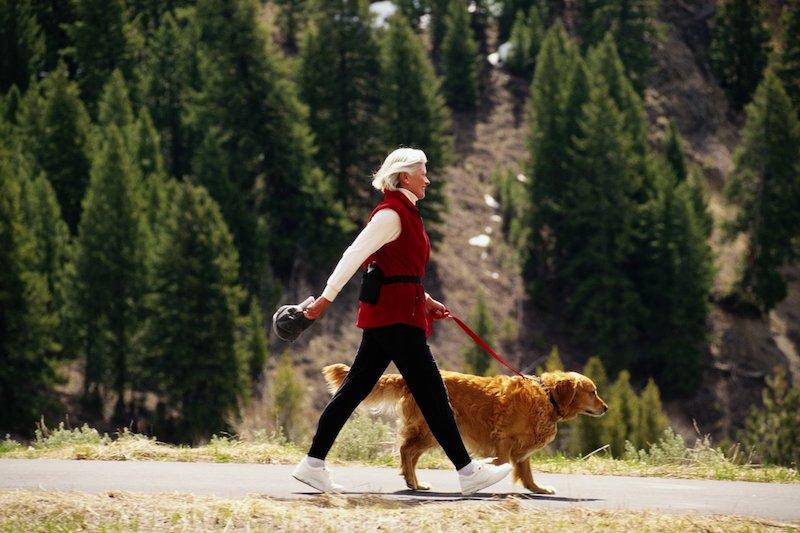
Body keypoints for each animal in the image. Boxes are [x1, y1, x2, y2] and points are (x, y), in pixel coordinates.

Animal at [322, 364, 608, 492]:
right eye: (593, 392)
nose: (606, 407)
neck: (547, 396)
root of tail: (406, 378)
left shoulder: (522, 447)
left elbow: (526, 472)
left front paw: (538, 489)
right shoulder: (505, 439)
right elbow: (503, 462)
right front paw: (491, 475)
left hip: (431, 431)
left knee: (409, 453)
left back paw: (414, 482)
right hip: (431, 429)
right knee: (406, 450)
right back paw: (413, 482)